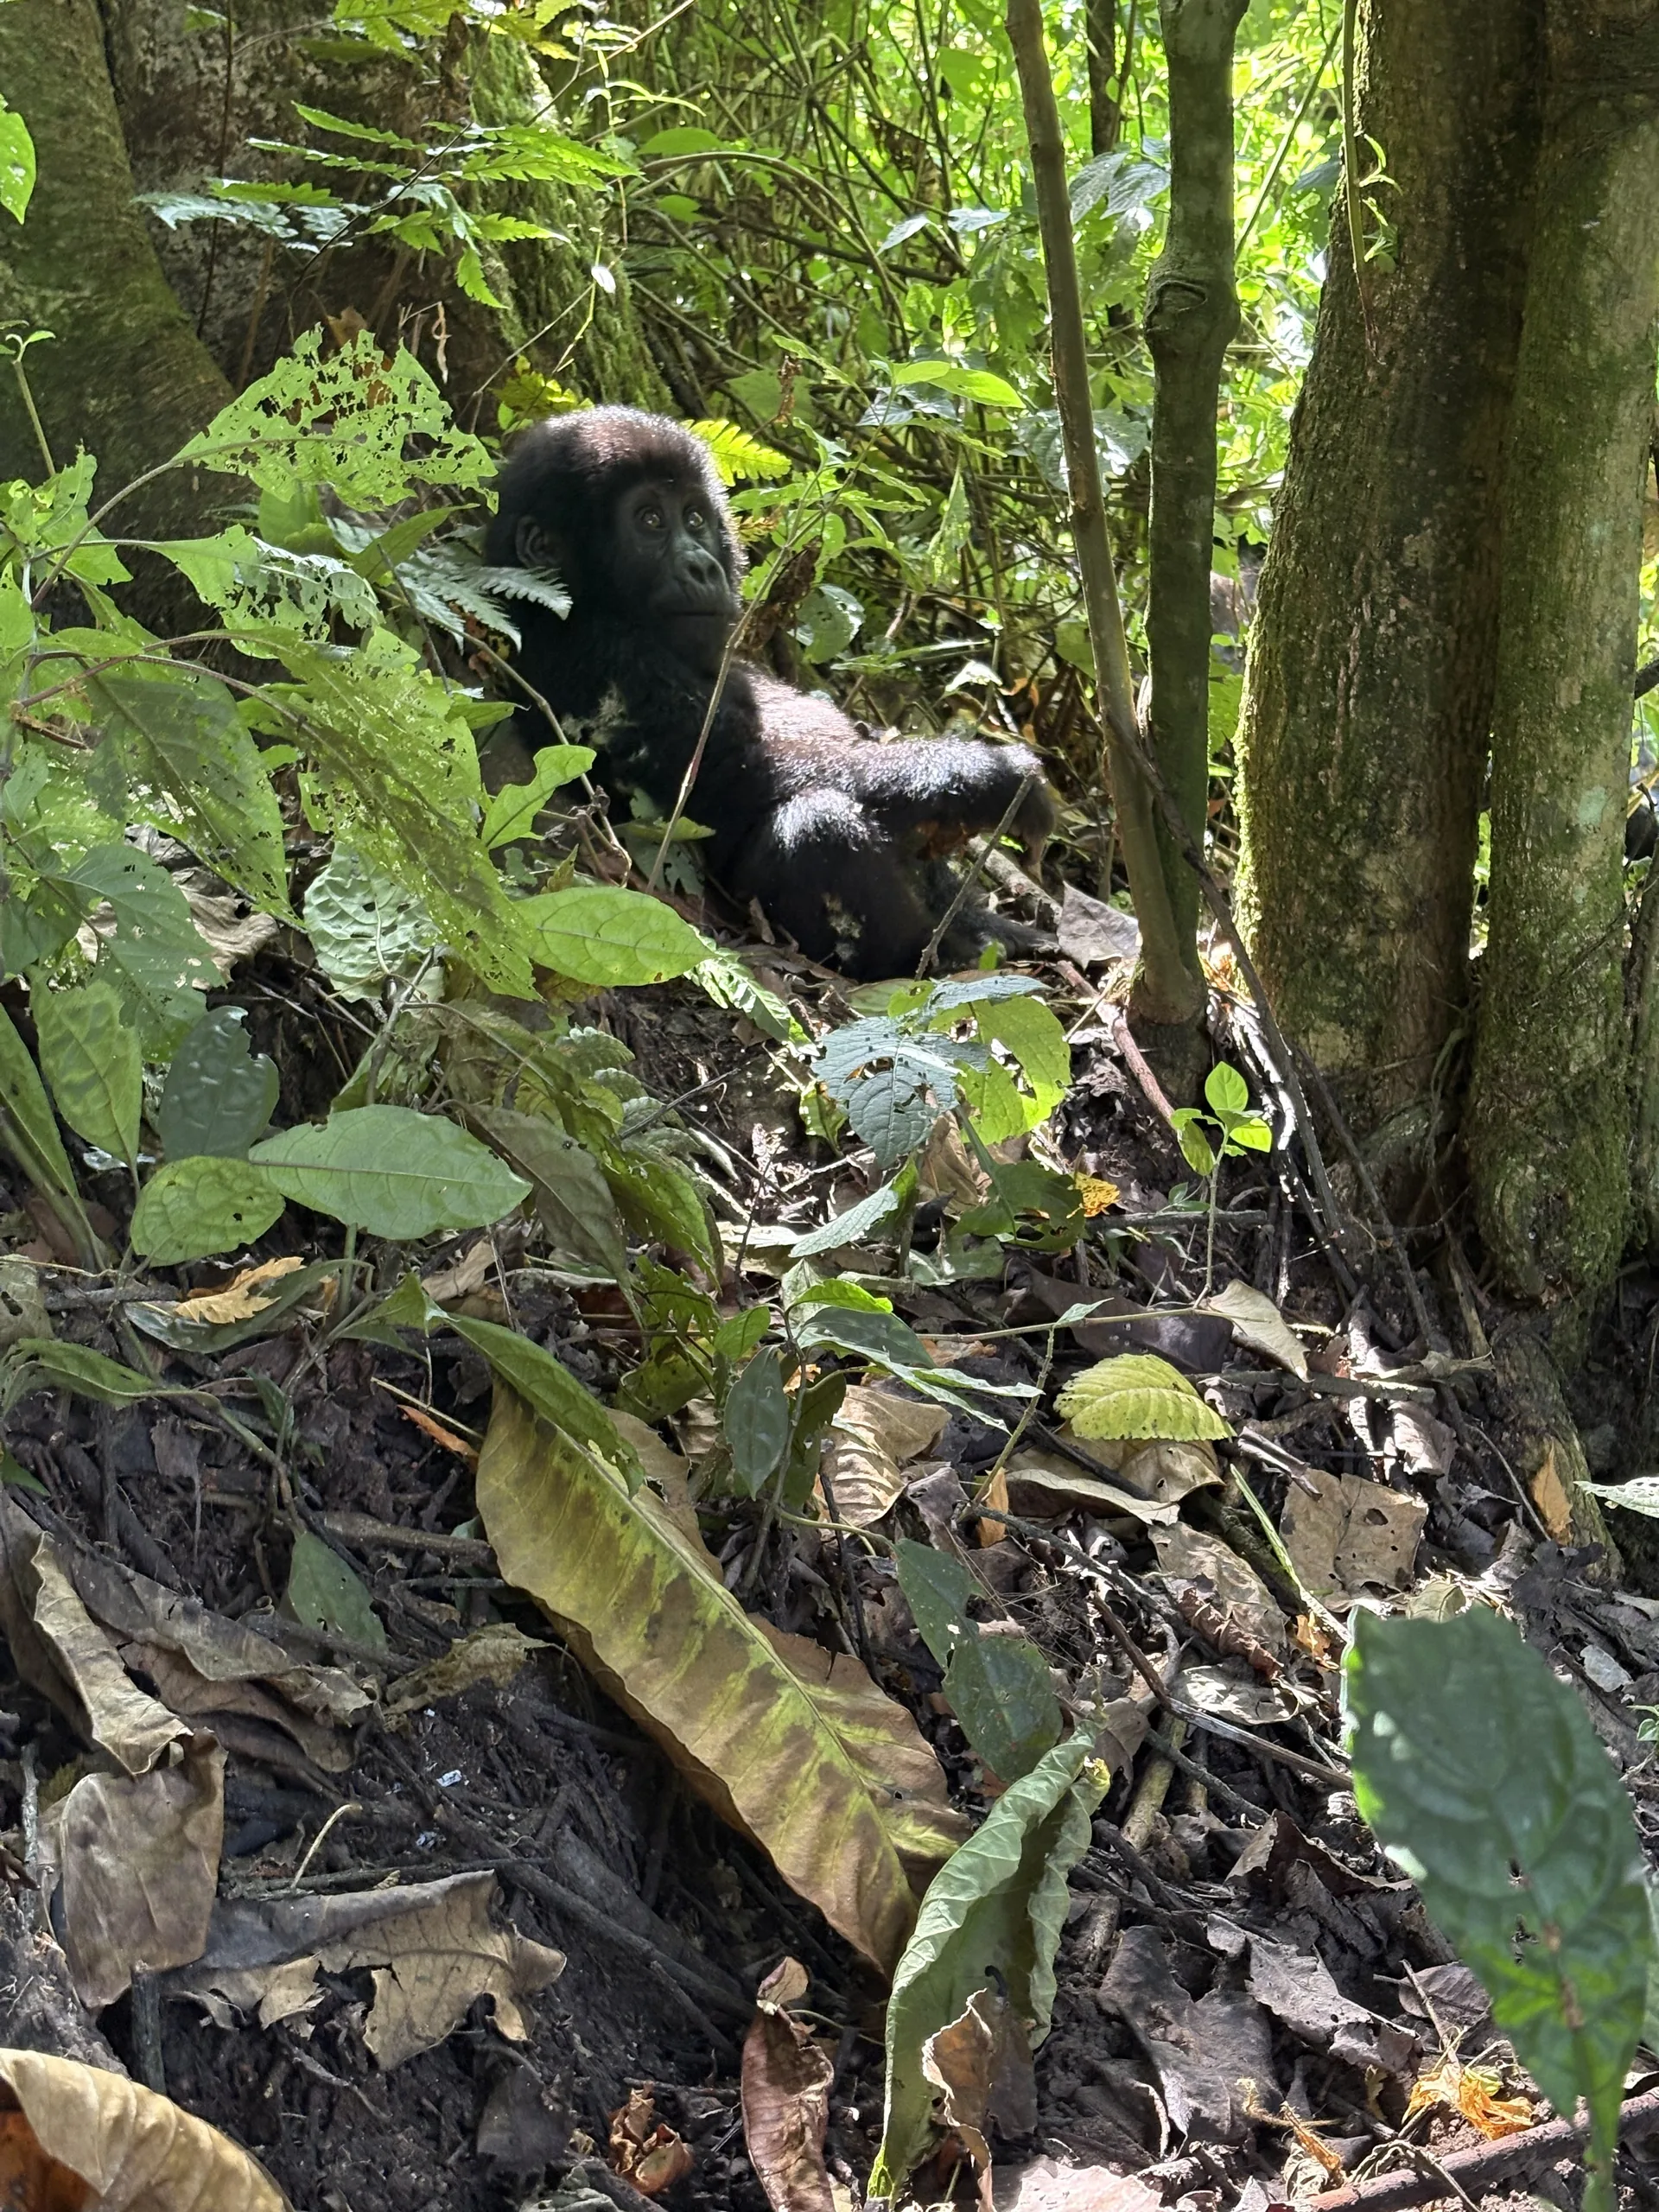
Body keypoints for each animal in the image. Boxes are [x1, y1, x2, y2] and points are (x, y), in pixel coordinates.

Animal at [482, 407, 1055, 980]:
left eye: (694, 519)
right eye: (649, 521)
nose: (703, 566)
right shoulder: (603, 663)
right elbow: (759, 776)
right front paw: (985, 776)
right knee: (817, 825)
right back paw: (939, 954)